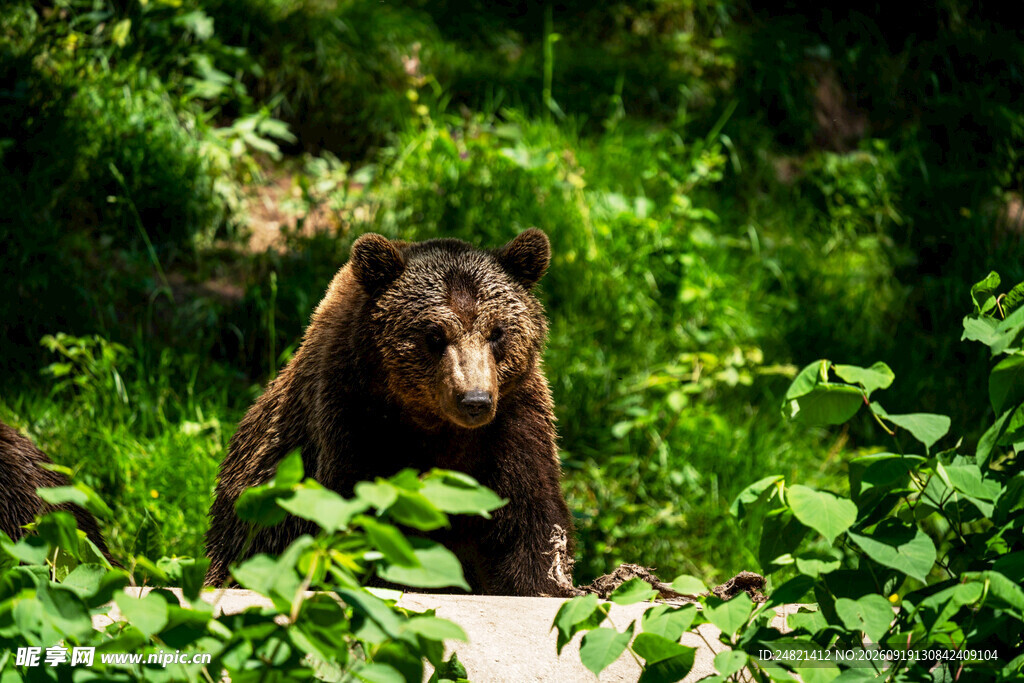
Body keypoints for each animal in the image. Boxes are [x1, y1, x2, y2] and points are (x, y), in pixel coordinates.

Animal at [205, 229, 575, 595]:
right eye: (434, 335)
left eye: (497, 331)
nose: (475, 400)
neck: (433, 424)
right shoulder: (355, 421)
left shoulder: (512, 426)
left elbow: (530, 523)